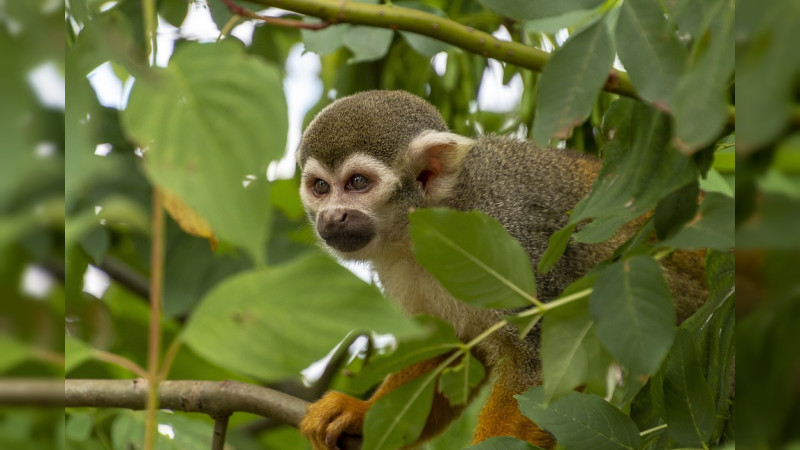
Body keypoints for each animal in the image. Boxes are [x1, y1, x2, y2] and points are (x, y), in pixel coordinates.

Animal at [295, 90, 707, 449]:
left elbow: (540, 362)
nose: (332, 217)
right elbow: (450, 352)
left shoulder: (510, 232)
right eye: (321, 187)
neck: (429, 224)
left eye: (357, 183)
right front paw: (360, 413)